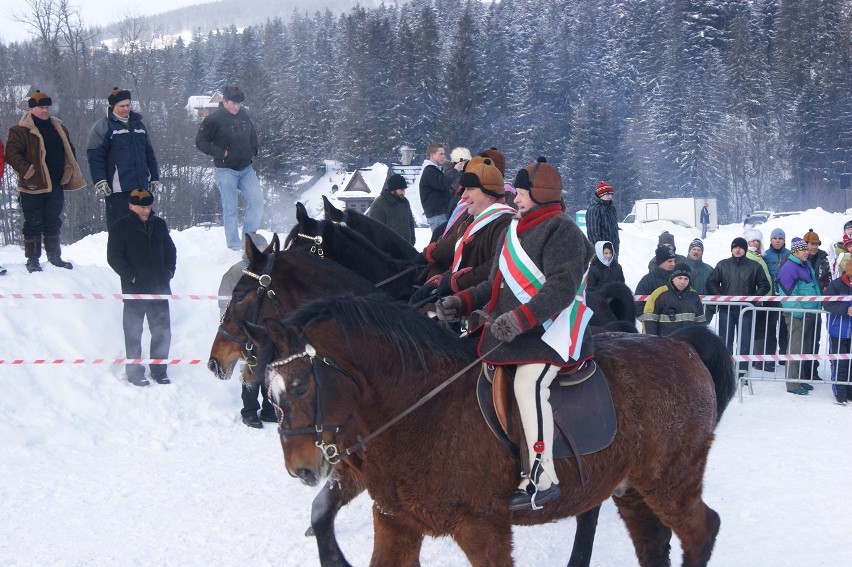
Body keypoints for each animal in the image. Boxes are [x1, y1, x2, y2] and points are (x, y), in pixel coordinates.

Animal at [256, 298, 736, 567]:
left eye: (299, 386)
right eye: (268, 390)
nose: (300, 468)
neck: (422, 408)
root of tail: (680, 345)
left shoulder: (482, 528)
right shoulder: (396, 521)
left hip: (670, 481)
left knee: (702, 530)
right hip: (632, 488)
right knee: (653, 544)